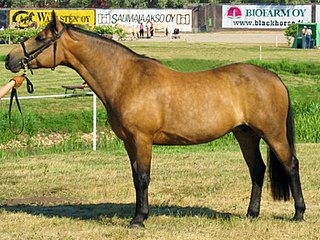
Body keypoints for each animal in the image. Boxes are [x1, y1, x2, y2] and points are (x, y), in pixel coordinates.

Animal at [4, 11, 304, 229]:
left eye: (40, 37)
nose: (10, 58)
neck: (126, 78)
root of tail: (274, 78)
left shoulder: (142, 140)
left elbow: (144, 177)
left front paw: (139, 220)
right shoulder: (129, 143)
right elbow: (136, 177)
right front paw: (139, 215)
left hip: (273, 133)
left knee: (290, 165)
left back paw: (298, 214)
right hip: (245, 134)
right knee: (257, 170)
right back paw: (251, 214)